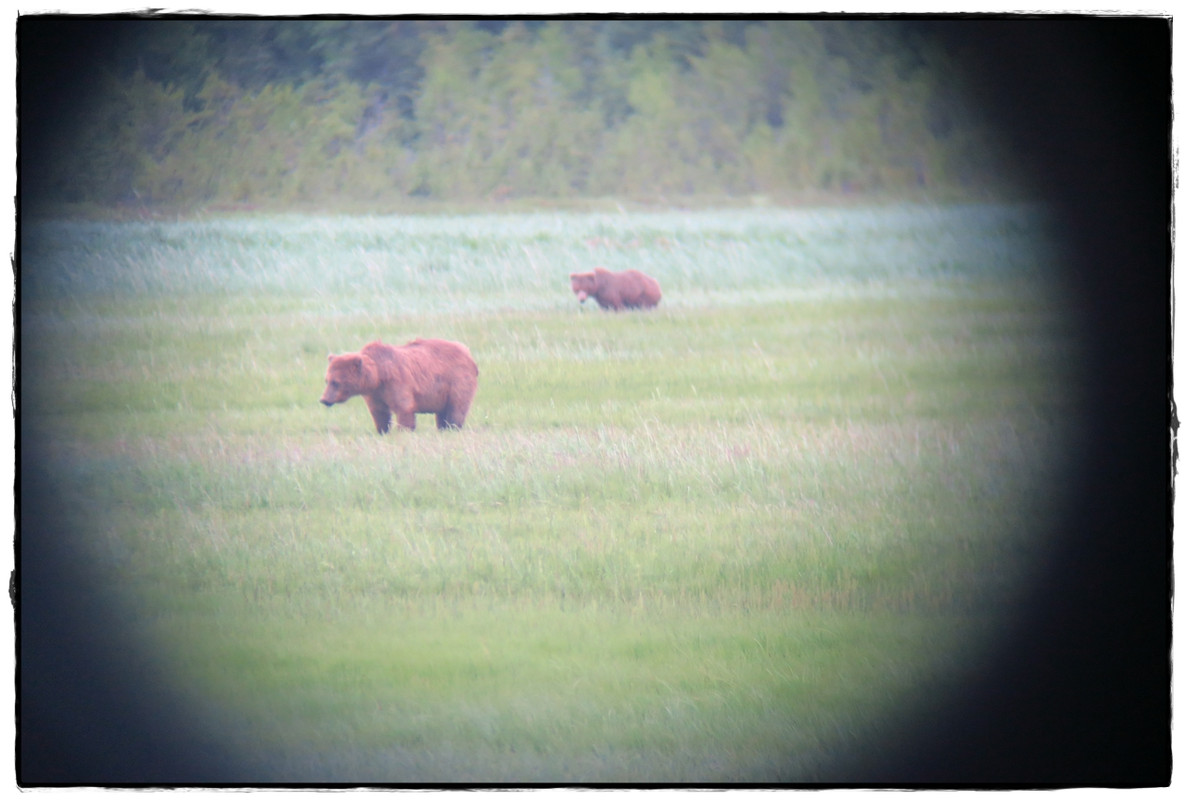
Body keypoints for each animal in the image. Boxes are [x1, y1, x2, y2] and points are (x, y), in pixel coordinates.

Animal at [322, 339, 479, 432]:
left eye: (336, 382)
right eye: (327, 380)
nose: (324, 400)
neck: (378, 376)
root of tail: (467, 351)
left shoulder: (397, 382)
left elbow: (404, 408)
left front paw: (404, 430)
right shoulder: (375, 394)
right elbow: (379, 412)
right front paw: (382, 430)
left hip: (457, 380)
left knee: (457, 407)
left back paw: (453, 427)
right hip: (442, 393)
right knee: (442, 412)